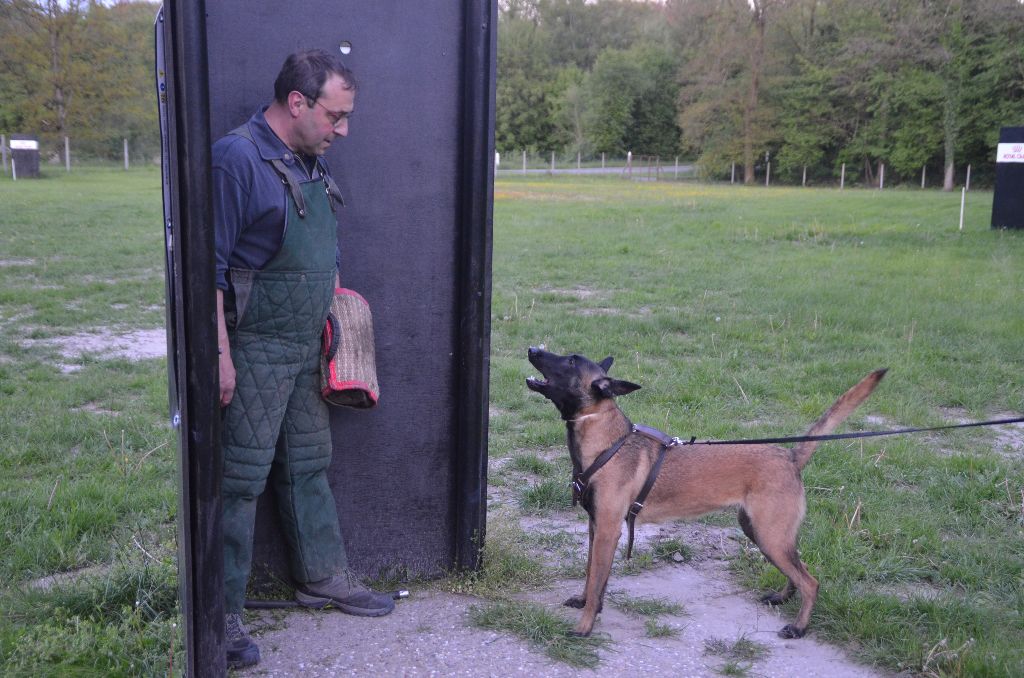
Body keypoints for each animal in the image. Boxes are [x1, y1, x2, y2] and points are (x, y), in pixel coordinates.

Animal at [524, 348, 884, 639]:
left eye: (571, 361)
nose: (532, 348)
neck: (606, 441)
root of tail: (790, 457)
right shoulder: (595, 527)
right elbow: (591, 575)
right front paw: (587, 603)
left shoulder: (609, 530)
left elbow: (597, 577)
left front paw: (585, 627)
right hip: (763, 533)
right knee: (799, 569)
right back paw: (783, 597)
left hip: (770, 535)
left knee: (811, 581)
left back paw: (799, 627)